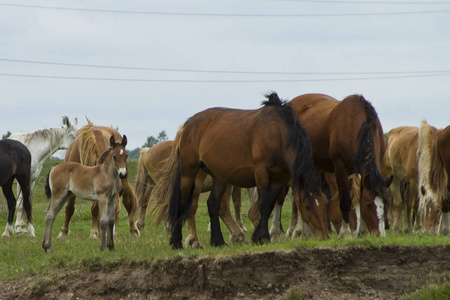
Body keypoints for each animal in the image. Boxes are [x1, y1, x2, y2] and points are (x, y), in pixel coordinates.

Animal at [150, 92, 326, 250]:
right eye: (307, 206)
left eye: (325, 203)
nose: (324, 236)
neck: (277, 133)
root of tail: (189, 123)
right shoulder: (261, 174)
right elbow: (263, 206)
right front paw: (261, 237)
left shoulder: (278, 180)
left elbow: (269, 205)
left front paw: (260, 236)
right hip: (189, 172)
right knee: (183, 202)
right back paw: (177, 242)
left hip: (219, 176)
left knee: (213, 204)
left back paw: (218, 241)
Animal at [288, 94, 390, 237]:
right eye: (369, 205)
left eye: (386, 205)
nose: (379, 234)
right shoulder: (340, 167)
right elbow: (345, 200)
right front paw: (345, 232)